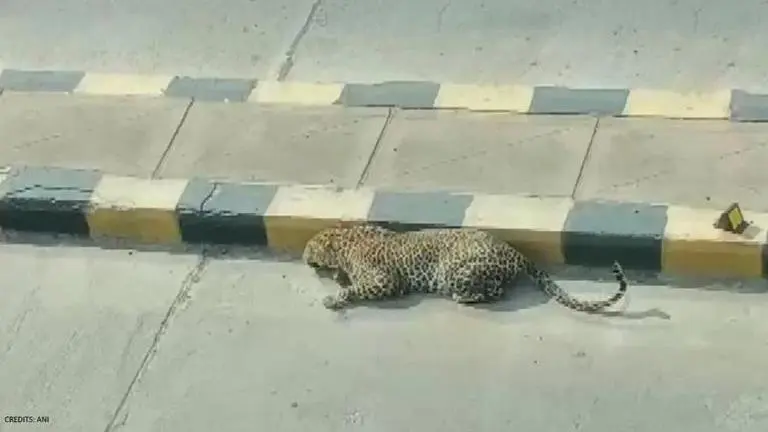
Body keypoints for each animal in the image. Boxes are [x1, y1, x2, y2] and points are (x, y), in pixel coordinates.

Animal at [302, 224, 628, 313]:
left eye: (310, 245)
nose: (304, 254)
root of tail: (514, 252)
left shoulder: (385, 281)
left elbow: (353, 288)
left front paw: (333, 297)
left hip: (454, 272)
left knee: (495, 291)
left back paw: (466, 298)